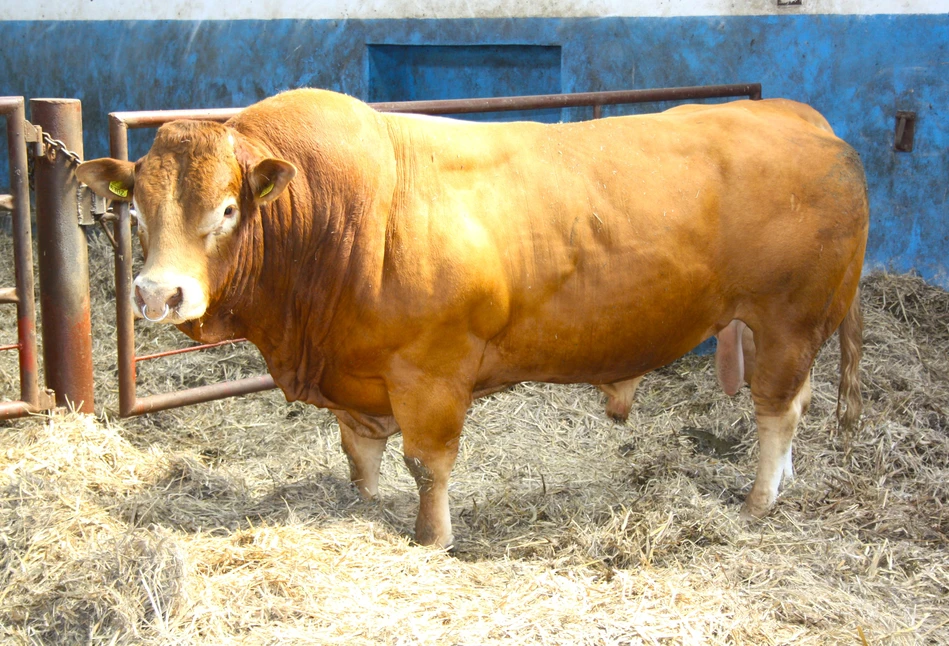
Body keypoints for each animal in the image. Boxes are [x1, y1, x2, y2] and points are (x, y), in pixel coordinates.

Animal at [79, 90, 868, 548]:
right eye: (136, 210)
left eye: (227, 209)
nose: (158, 294)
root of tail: (800, 118)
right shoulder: (357, 375)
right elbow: (359, 455)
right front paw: (364, 503)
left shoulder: (431, 372)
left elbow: (428, 465)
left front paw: (431, 537)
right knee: (793, 403)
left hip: (788, 319)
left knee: (776, 410)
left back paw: (759, 500)